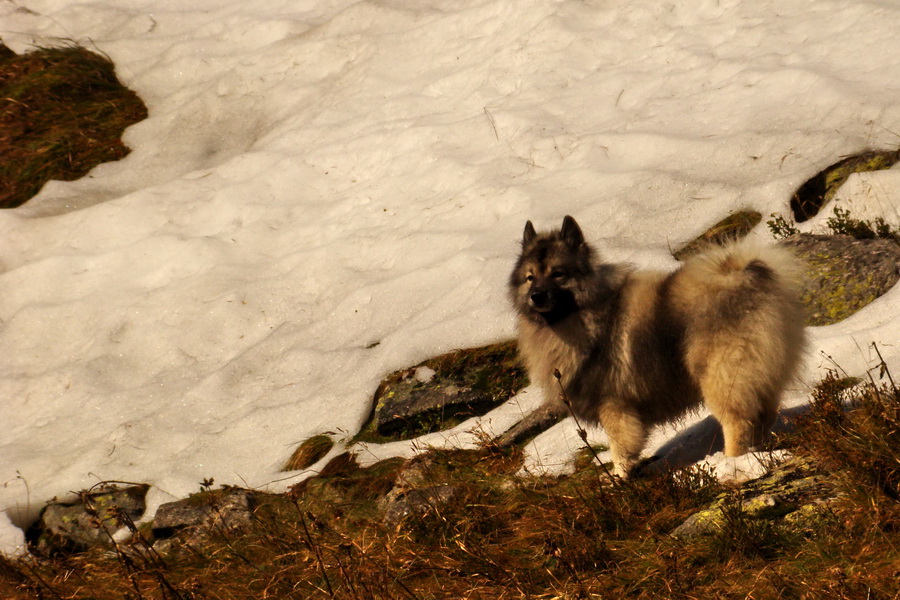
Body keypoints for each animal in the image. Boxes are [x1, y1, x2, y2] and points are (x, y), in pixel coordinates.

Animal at [510, 216, 804, 478]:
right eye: (530, 277)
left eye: (558, 274)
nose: (536, 296)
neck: (583, 316)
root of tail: (744, 277)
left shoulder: (615, 406)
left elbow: (621, 448)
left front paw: (619, 478)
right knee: (763, 415)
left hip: (723, 377)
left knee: (738, 422)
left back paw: (732, 462)